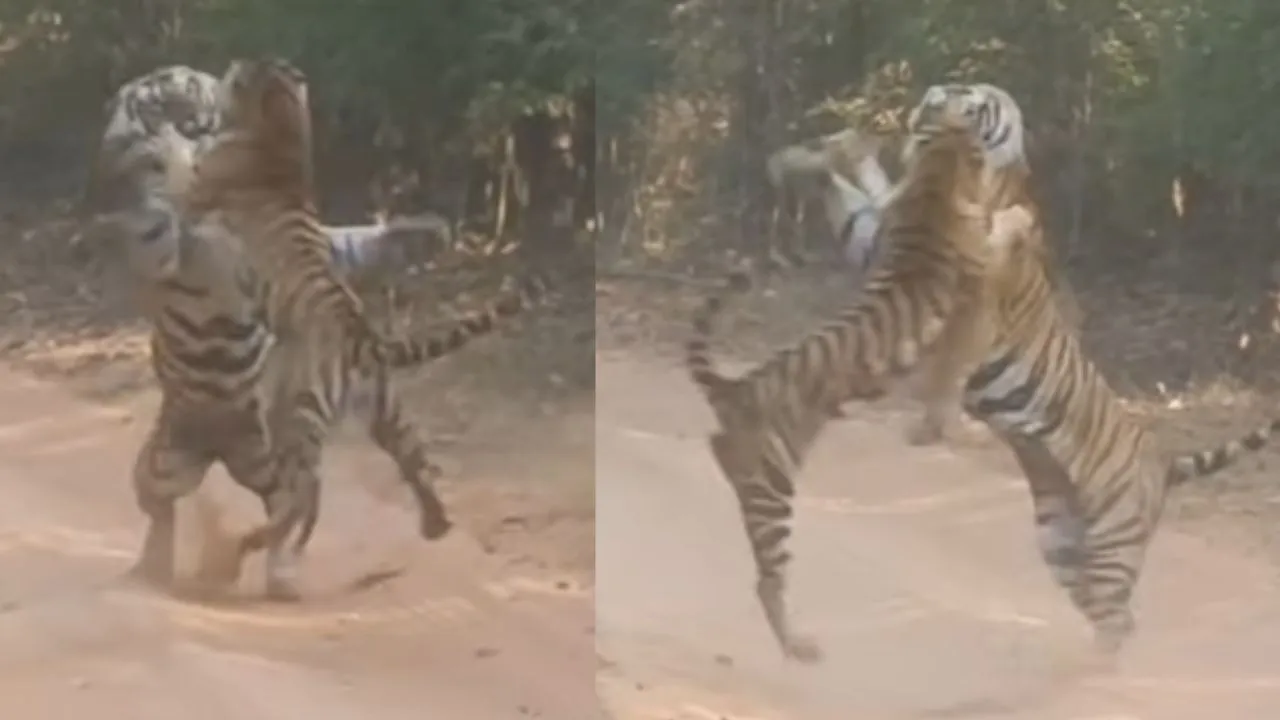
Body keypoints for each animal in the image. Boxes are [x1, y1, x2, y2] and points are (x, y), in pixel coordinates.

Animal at [98, 121, 542, 600]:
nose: (171, 131)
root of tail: (217, 448)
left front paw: (421, 229)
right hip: (189, 458)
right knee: (199, 507)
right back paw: (186, 568)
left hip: (310, 434)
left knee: (327, 488)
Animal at [686, 111, 1036, 664]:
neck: (934, 184)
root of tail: (733, 387)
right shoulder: (979, 256)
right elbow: (998, 226)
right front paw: (1018, 212)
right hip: (773, 488)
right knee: (768, 578)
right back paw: (798, 646)